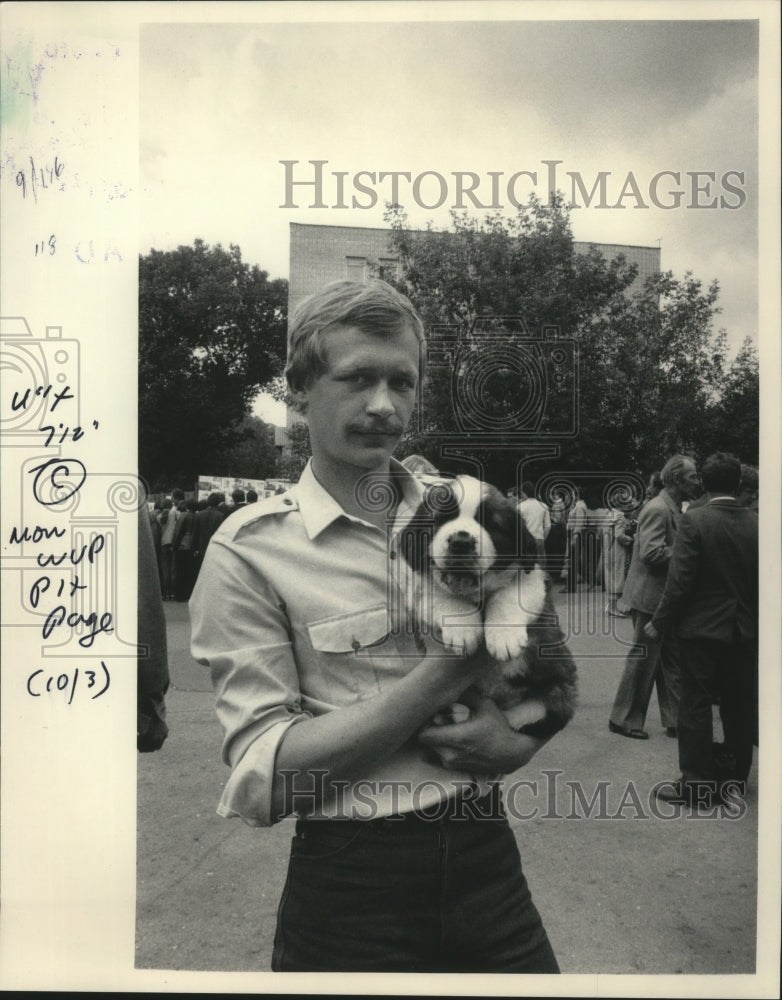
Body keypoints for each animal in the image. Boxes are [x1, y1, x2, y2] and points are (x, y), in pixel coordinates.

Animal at [402, 472, 580, 740]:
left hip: (559, 689)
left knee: (530, 716)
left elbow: (508, 595)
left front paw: (504, 638)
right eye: (441, 519)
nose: (461, 541)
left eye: (491, 525)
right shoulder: (419, 591)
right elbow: (439, 595)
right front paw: (463, 630)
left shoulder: (533, 577)